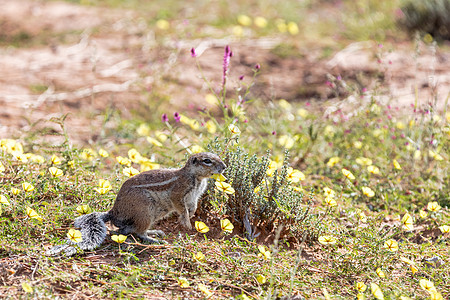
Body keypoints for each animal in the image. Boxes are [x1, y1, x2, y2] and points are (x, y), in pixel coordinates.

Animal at [45, 152, 225, 255]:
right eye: (207, 161)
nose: (224, 167)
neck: (197, 178)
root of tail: (114, 213)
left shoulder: (194, 197)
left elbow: (192, 206)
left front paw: (192, 214)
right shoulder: (178, 194)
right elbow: (181, 208)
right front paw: (187, 223)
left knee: (126, 230)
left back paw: (154, 232)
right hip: (145, 211)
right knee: (136, 232)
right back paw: (154, 239)